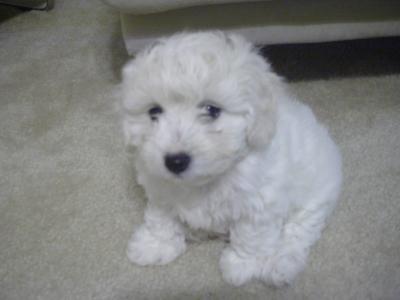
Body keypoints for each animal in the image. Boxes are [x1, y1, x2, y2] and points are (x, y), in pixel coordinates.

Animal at [121, 31, 340, 288]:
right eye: (154, 112)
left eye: (212, 110)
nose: (175, 161)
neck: (206, 180)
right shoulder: (160, 188)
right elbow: (161, 218)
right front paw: (155, 244)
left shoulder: (260, 202)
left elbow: (250, 234)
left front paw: (241, 265)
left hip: (315, 197)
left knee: (298, 232)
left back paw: (279, 265)